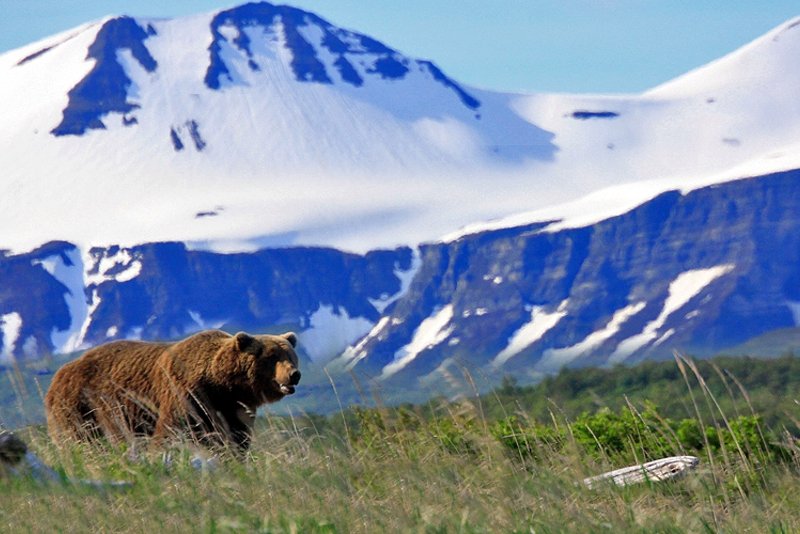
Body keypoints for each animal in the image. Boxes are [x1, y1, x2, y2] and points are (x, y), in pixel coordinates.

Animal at [43, 330, 300, 452]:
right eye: (272, 356)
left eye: (290, 354)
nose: (294, 374)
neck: (222, 385)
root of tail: (58, 375)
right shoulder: (186, 394)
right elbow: (171, 432)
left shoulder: (233, 409)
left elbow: (236, 439)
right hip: (80, 407)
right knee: (80, 440)